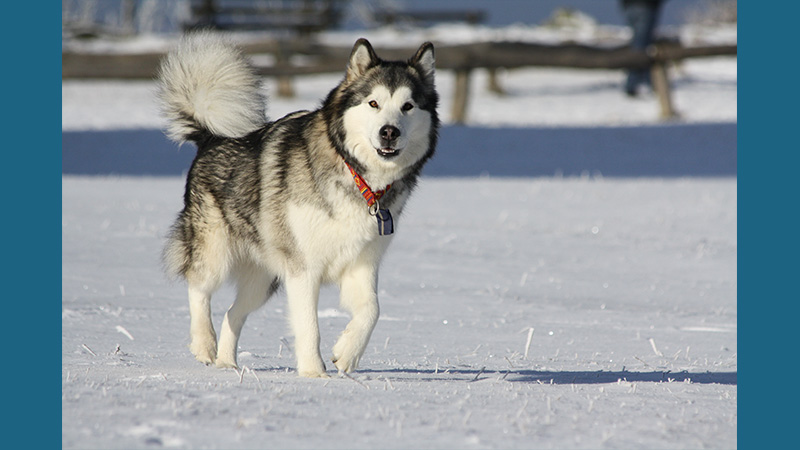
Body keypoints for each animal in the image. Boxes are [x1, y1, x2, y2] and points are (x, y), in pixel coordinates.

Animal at [158, 32, 438, 376]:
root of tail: (211, 137)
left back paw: (227, 363)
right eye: (374, 103)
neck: (357, 176)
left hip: (264, 279)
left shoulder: (362, 264)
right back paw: (204, 344)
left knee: (233, 313)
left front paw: (347, 354)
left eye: (408, 106)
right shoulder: (303, 269)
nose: (389, 132)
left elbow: (372, 310)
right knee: (198, 287)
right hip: (215, 252)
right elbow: (309, 326)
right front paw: (314, 373)